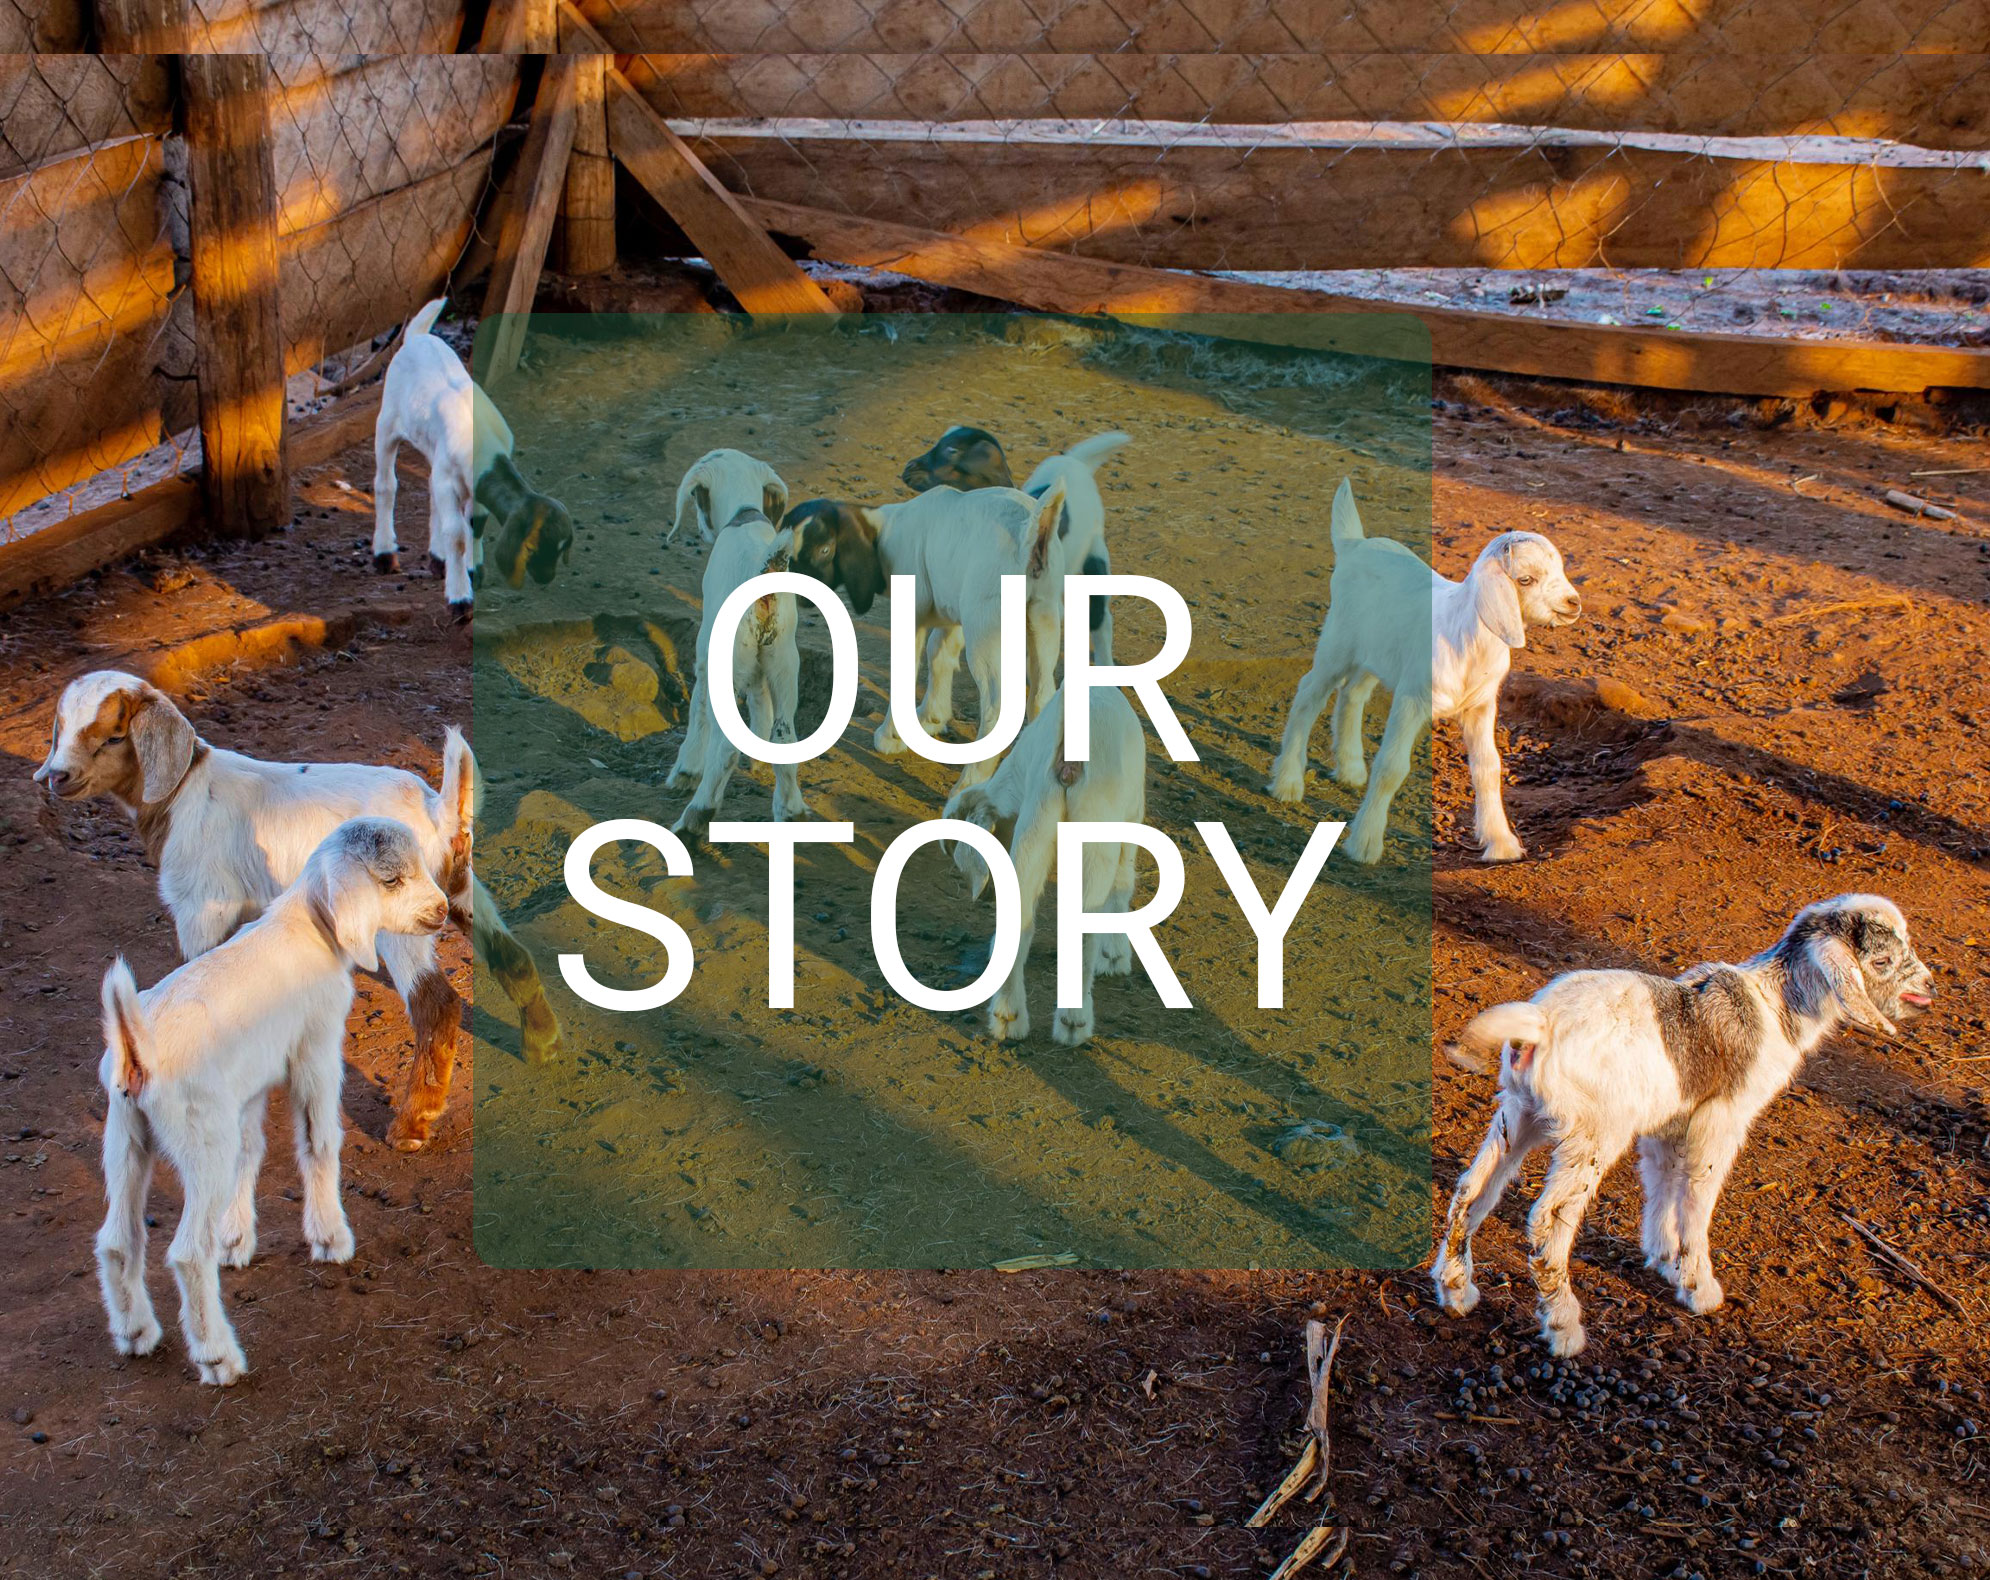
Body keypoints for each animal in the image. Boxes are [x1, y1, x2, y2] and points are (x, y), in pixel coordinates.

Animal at [34, 671, 561, 1148]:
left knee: (438, 1005)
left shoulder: (202, 904)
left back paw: (412, 1126)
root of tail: (440, 811)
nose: (58, 777)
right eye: (62, 728)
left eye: (114, 735)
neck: (185, 792)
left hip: (405, 914)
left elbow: (203, 975)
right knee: (510, 952)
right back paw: (542, 1044)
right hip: (457, 888)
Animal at [94, 817, 449, 1385]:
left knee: (117, 1238)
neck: (311, 927)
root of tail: (136, 1049)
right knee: (186, 1254)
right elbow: (319, 1142)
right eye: (392, 880)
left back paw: (135, 1333)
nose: (441, 911)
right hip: (201, 1139)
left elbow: (252, 1150)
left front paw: (236, 1241)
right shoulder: (315, 1048)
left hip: (125, 1134)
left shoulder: (250, 1083)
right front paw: (329, 1238)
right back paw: (217, 1355)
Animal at [942, 683, 1145, 1045]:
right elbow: (1124, 882)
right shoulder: (1133, 813)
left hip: (1035, 824)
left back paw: (1007, 1015)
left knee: (1021, 917)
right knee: (1085, 928)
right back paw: (1074, 1021)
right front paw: (1116, 955)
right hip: (1094, 825)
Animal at [1268, 480, 1580, 863]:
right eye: (1526, 579)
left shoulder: (1480, 706)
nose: (1573, 603)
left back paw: (1351, 768)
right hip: (1338, 641)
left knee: (1353, 693)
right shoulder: (1413, 697)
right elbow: (1392, 767)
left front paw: (1501, 843)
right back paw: (1288, 782)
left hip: (1379, 651)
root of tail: (1355, 543)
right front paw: (1365, 844)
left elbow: (1488, 767)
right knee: (1309, 693)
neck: (1466, 635)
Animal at [1434, 894, 1934, 1356]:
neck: (1775, 1008)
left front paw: (1663, 1257)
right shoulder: (1722, 1119)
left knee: (1472, 1188)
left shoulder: (1671, 1120)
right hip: (1596, 1132)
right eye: (1883, 960)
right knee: (1547, 1220)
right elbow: (1699, 1194)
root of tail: (1542, 1023)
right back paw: (1564, 1327)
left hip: (1521, 1111)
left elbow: (1663, 1182)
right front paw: (1699, 1287)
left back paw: (1455, 1289)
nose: (1929, 987)